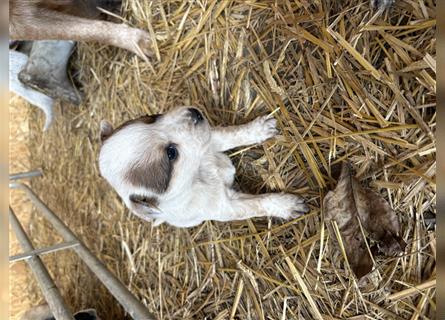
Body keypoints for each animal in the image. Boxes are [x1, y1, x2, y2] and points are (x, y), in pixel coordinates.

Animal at [99, 107, 308, 228]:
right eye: (171, 153)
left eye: (151, 117)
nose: (194, 113)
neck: (196, 170)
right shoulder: (227, 206)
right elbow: (258, 204)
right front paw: (287, 205)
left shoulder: (208, 141)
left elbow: (231, 134)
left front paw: (258, 129)